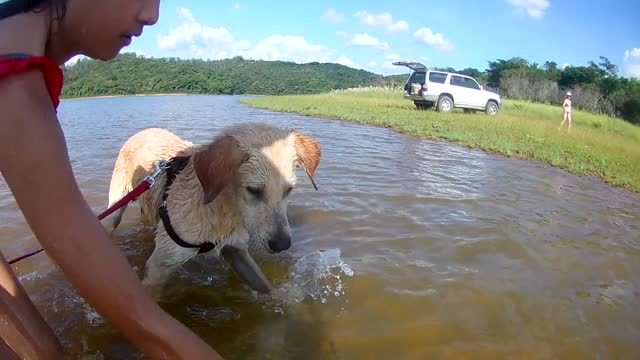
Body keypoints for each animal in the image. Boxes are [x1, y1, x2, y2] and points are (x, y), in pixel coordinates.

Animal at [104, 123, 320, 296]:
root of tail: (142, 132)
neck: (222, 209)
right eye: (253, 190)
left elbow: (265, 286)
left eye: (289, 190)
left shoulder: (237, 252)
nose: (282, 245)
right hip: (115, 208)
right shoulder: (160, 265)